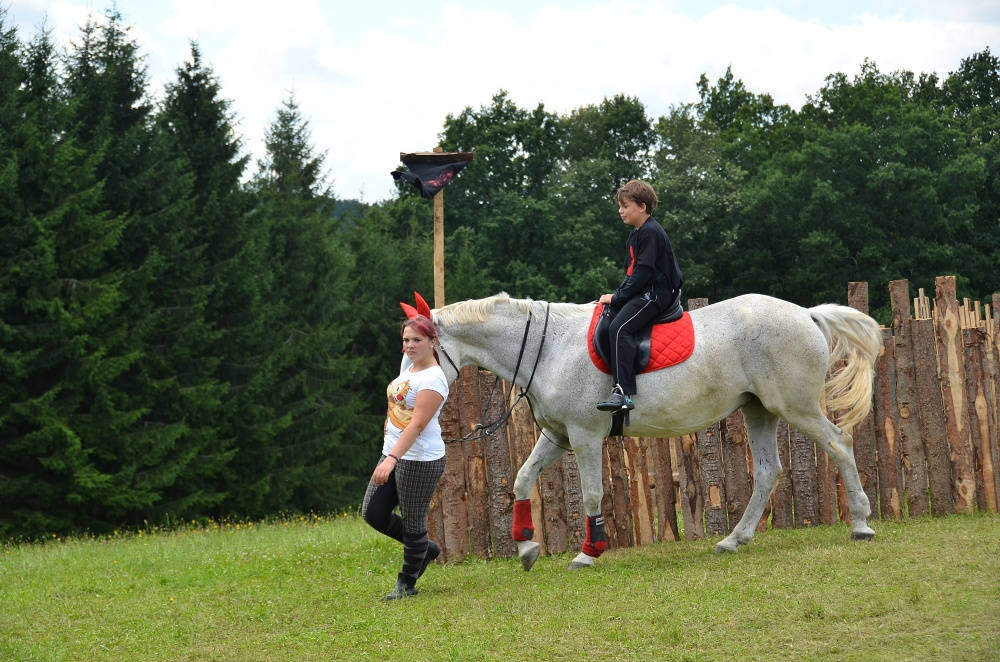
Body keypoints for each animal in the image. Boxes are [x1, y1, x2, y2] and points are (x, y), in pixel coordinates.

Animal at [419, 291, 882, 570]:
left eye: (416, 347)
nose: (411, 393)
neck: (548, 348)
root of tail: (806, 314)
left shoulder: (584, 436)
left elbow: (591, 493)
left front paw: (589, 552)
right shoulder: (557, 436)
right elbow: (521, 479)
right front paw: (527, 547)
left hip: (795, 407)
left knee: (839, 444)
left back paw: (861, 524)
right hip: (760, 411)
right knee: (769, 471)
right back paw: (734, 539)